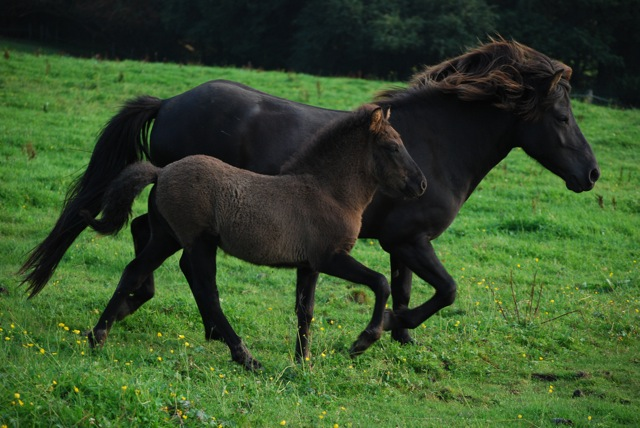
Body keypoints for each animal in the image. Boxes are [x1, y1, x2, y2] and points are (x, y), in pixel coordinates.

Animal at [21, 38, 600, 346]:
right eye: (562, 116)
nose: (592, 174)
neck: (436, 144)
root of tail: (170, 101)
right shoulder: (410, 240)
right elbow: (445, 290)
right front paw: (384, 331)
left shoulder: (401, 244)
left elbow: (409, 289)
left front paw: (399, 338)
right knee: (157, 242)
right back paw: (155, 308)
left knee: (150, 236)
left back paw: (147, 304)